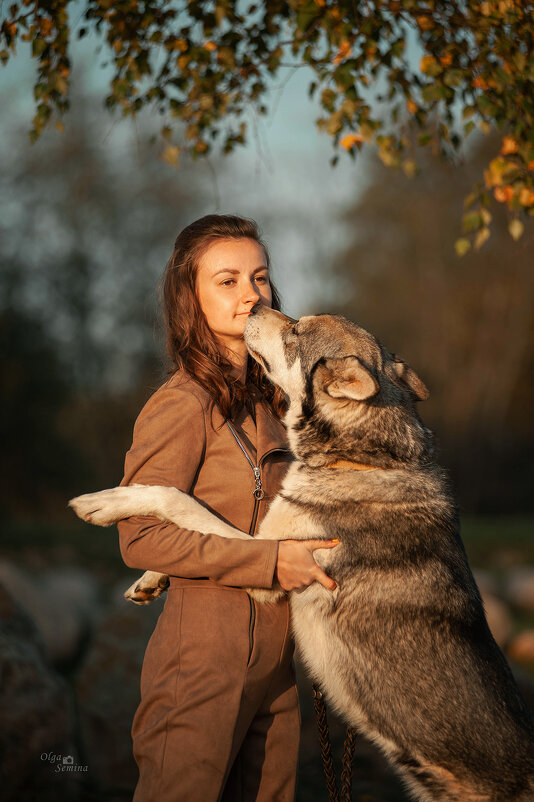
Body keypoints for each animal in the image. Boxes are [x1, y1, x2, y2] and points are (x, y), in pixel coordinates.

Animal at [72, 306, 534, 800]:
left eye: (295, 331)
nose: (253, 306)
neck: (364, 460)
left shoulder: (271, 563)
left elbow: (177, 499)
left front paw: (104, 503)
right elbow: (194, 531)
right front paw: (150, 580)